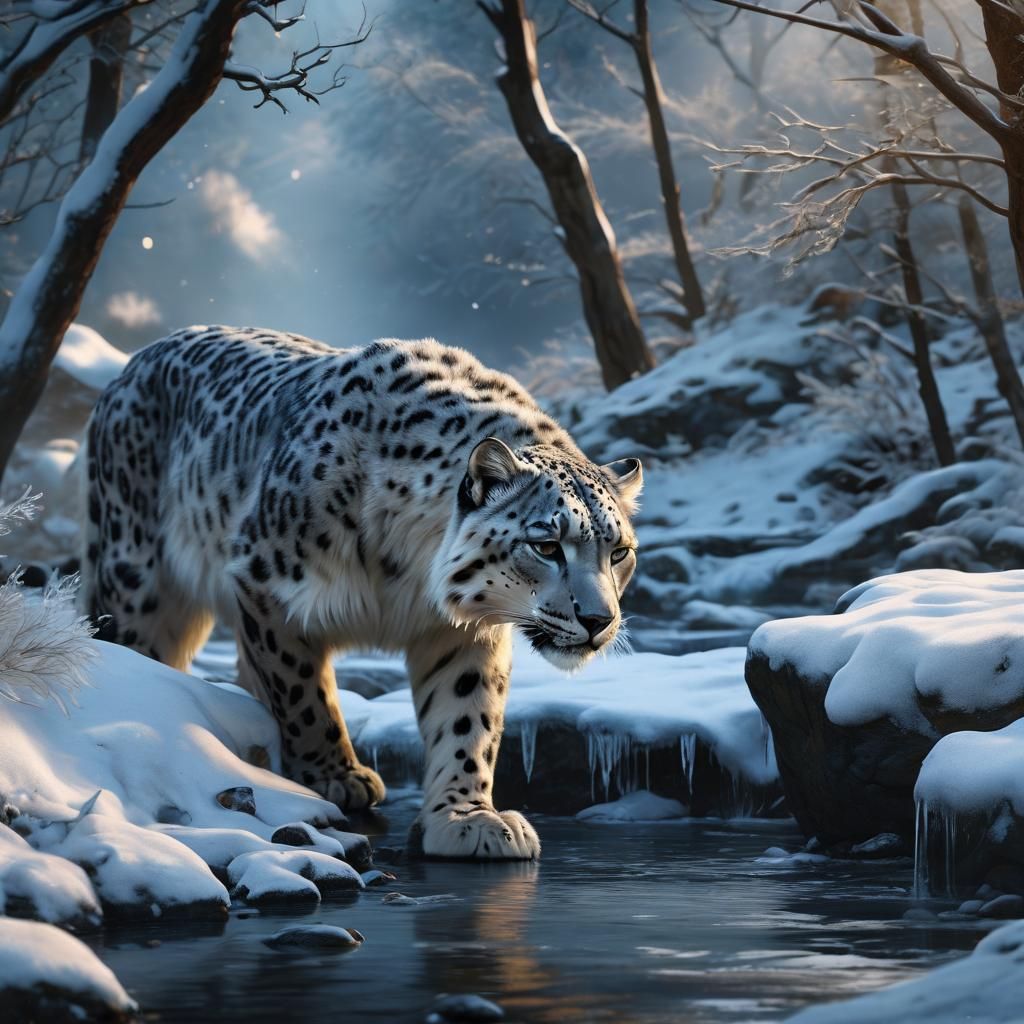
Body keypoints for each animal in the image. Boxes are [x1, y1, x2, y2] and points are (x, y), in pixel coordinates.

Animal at [80, 326, 643, 860]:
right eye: (546, 545)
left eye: (618, 552)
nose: (599, 621)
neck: (411, 575)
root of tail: (134, 363)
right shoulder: (267, 584)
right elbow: (302, 690)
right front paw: (335, 775)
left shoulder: (462, 632)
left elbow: (469, 716)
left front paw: (466, 818)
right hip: (137, 580)